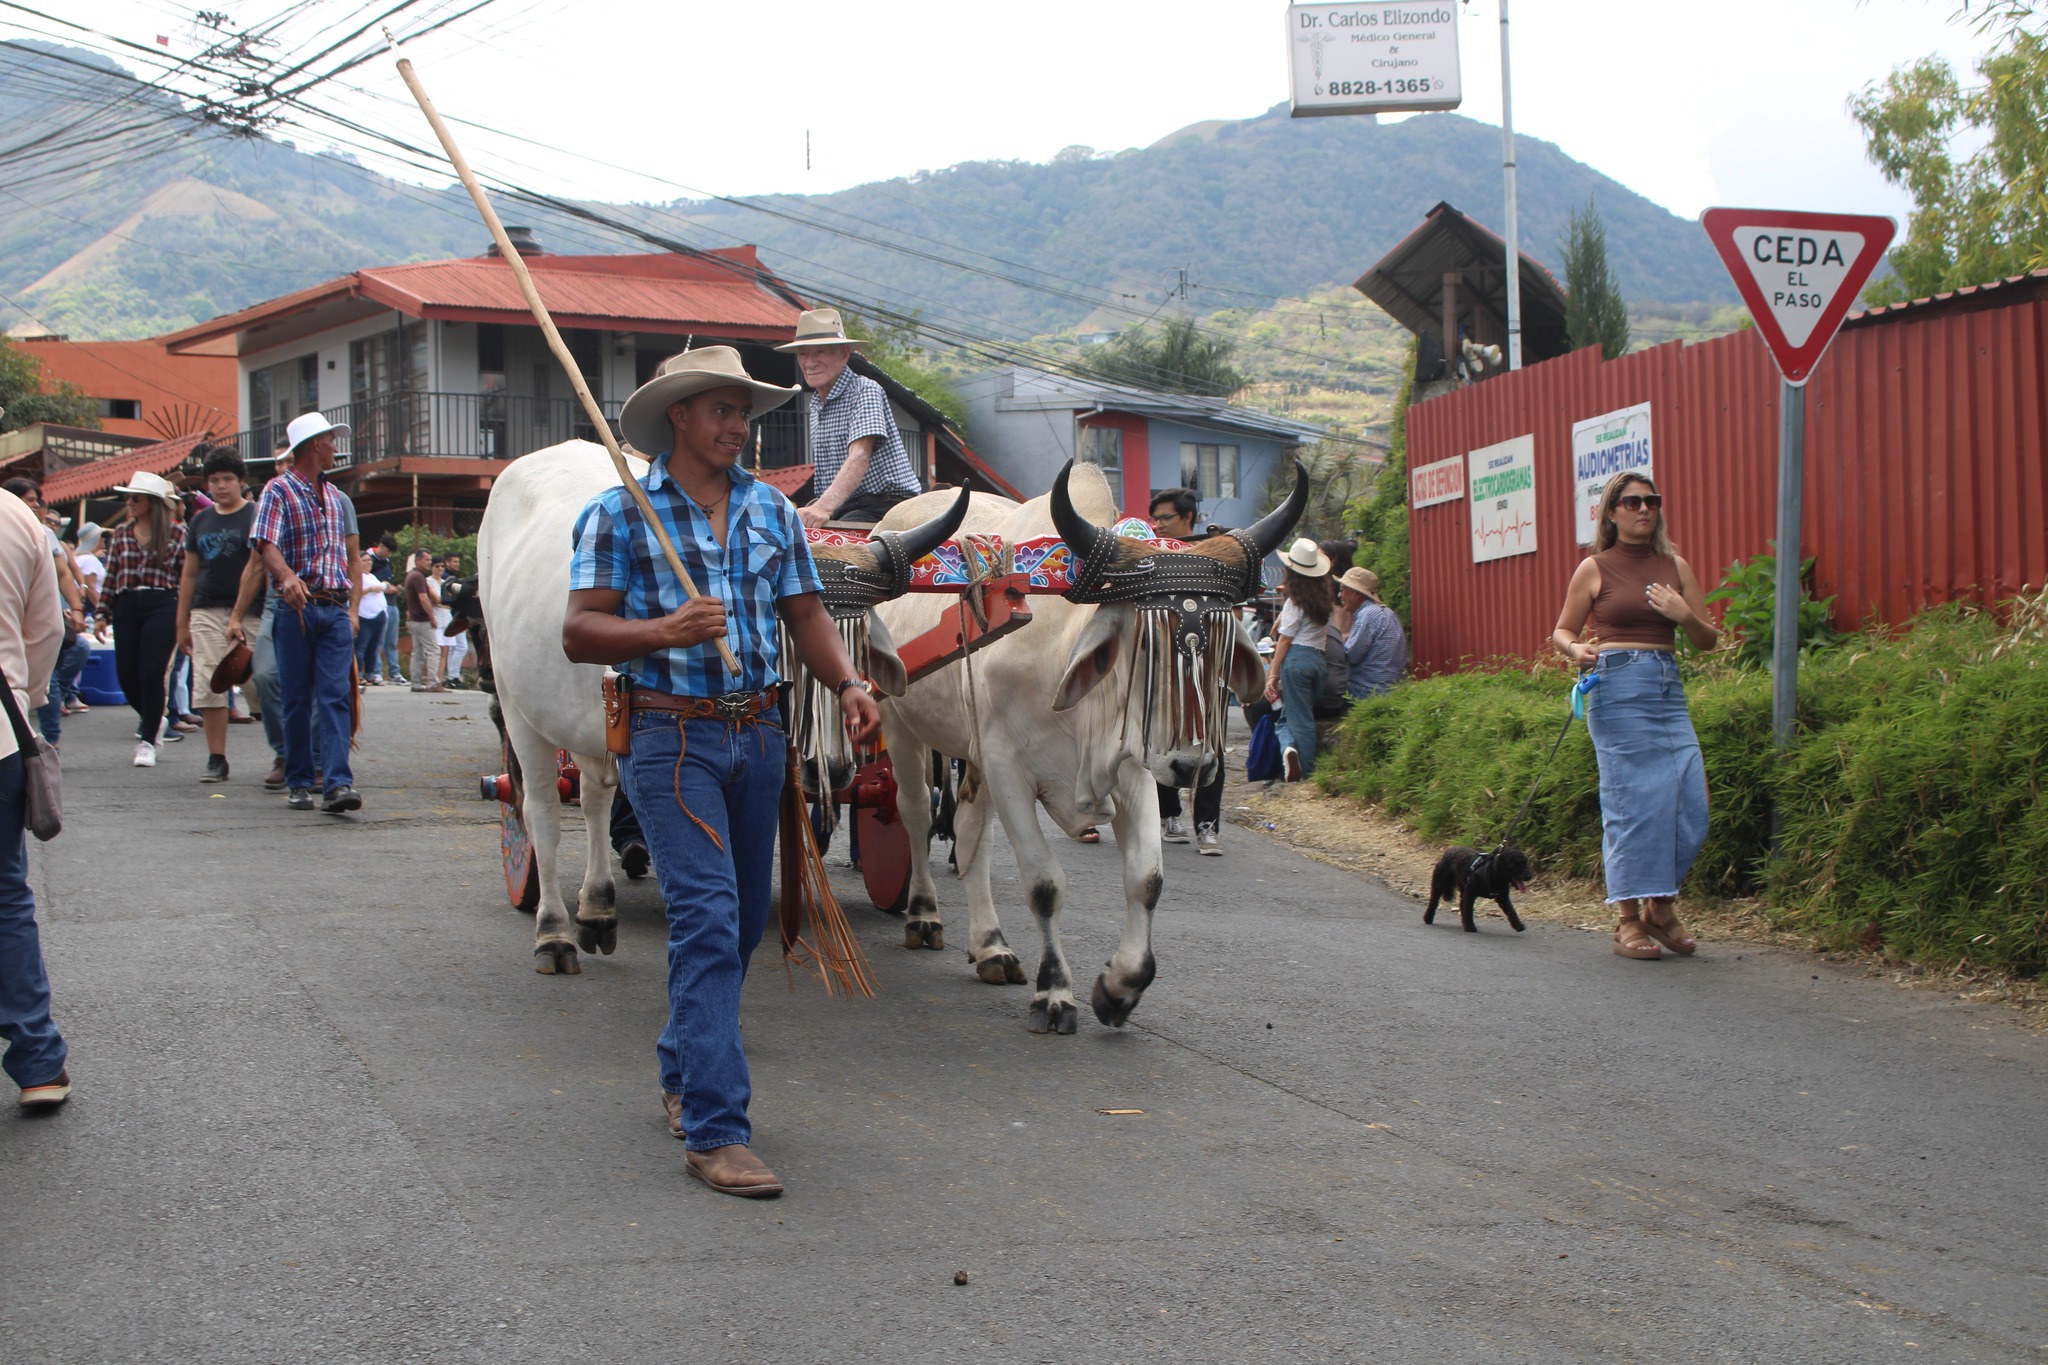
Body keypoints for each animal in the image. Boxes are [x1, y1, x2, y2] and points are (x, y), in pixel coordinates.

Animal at [476, 440, 965, 974]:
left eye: (856, 645)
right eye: (780, 640)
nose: (830, 769)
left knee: (593, 797)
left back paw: (597, 910)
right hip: (516, 701)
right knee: (539, 809)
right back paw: (554, 934)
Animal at [872, 459, 1305, 1033]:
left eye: (1220, 646)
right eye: (1144, 645)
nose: (1192, 765)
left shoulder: (1133, 768)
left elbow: (1146, 878)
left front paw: (1120, 988)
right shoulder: (1009, 768)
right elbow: (1043, 885)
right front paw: (1055, 991)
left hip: (973, 750)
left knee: (968, 835)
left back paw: (990, 946)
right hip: (899, 722)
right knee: (917, 814)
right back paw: (923, 914)